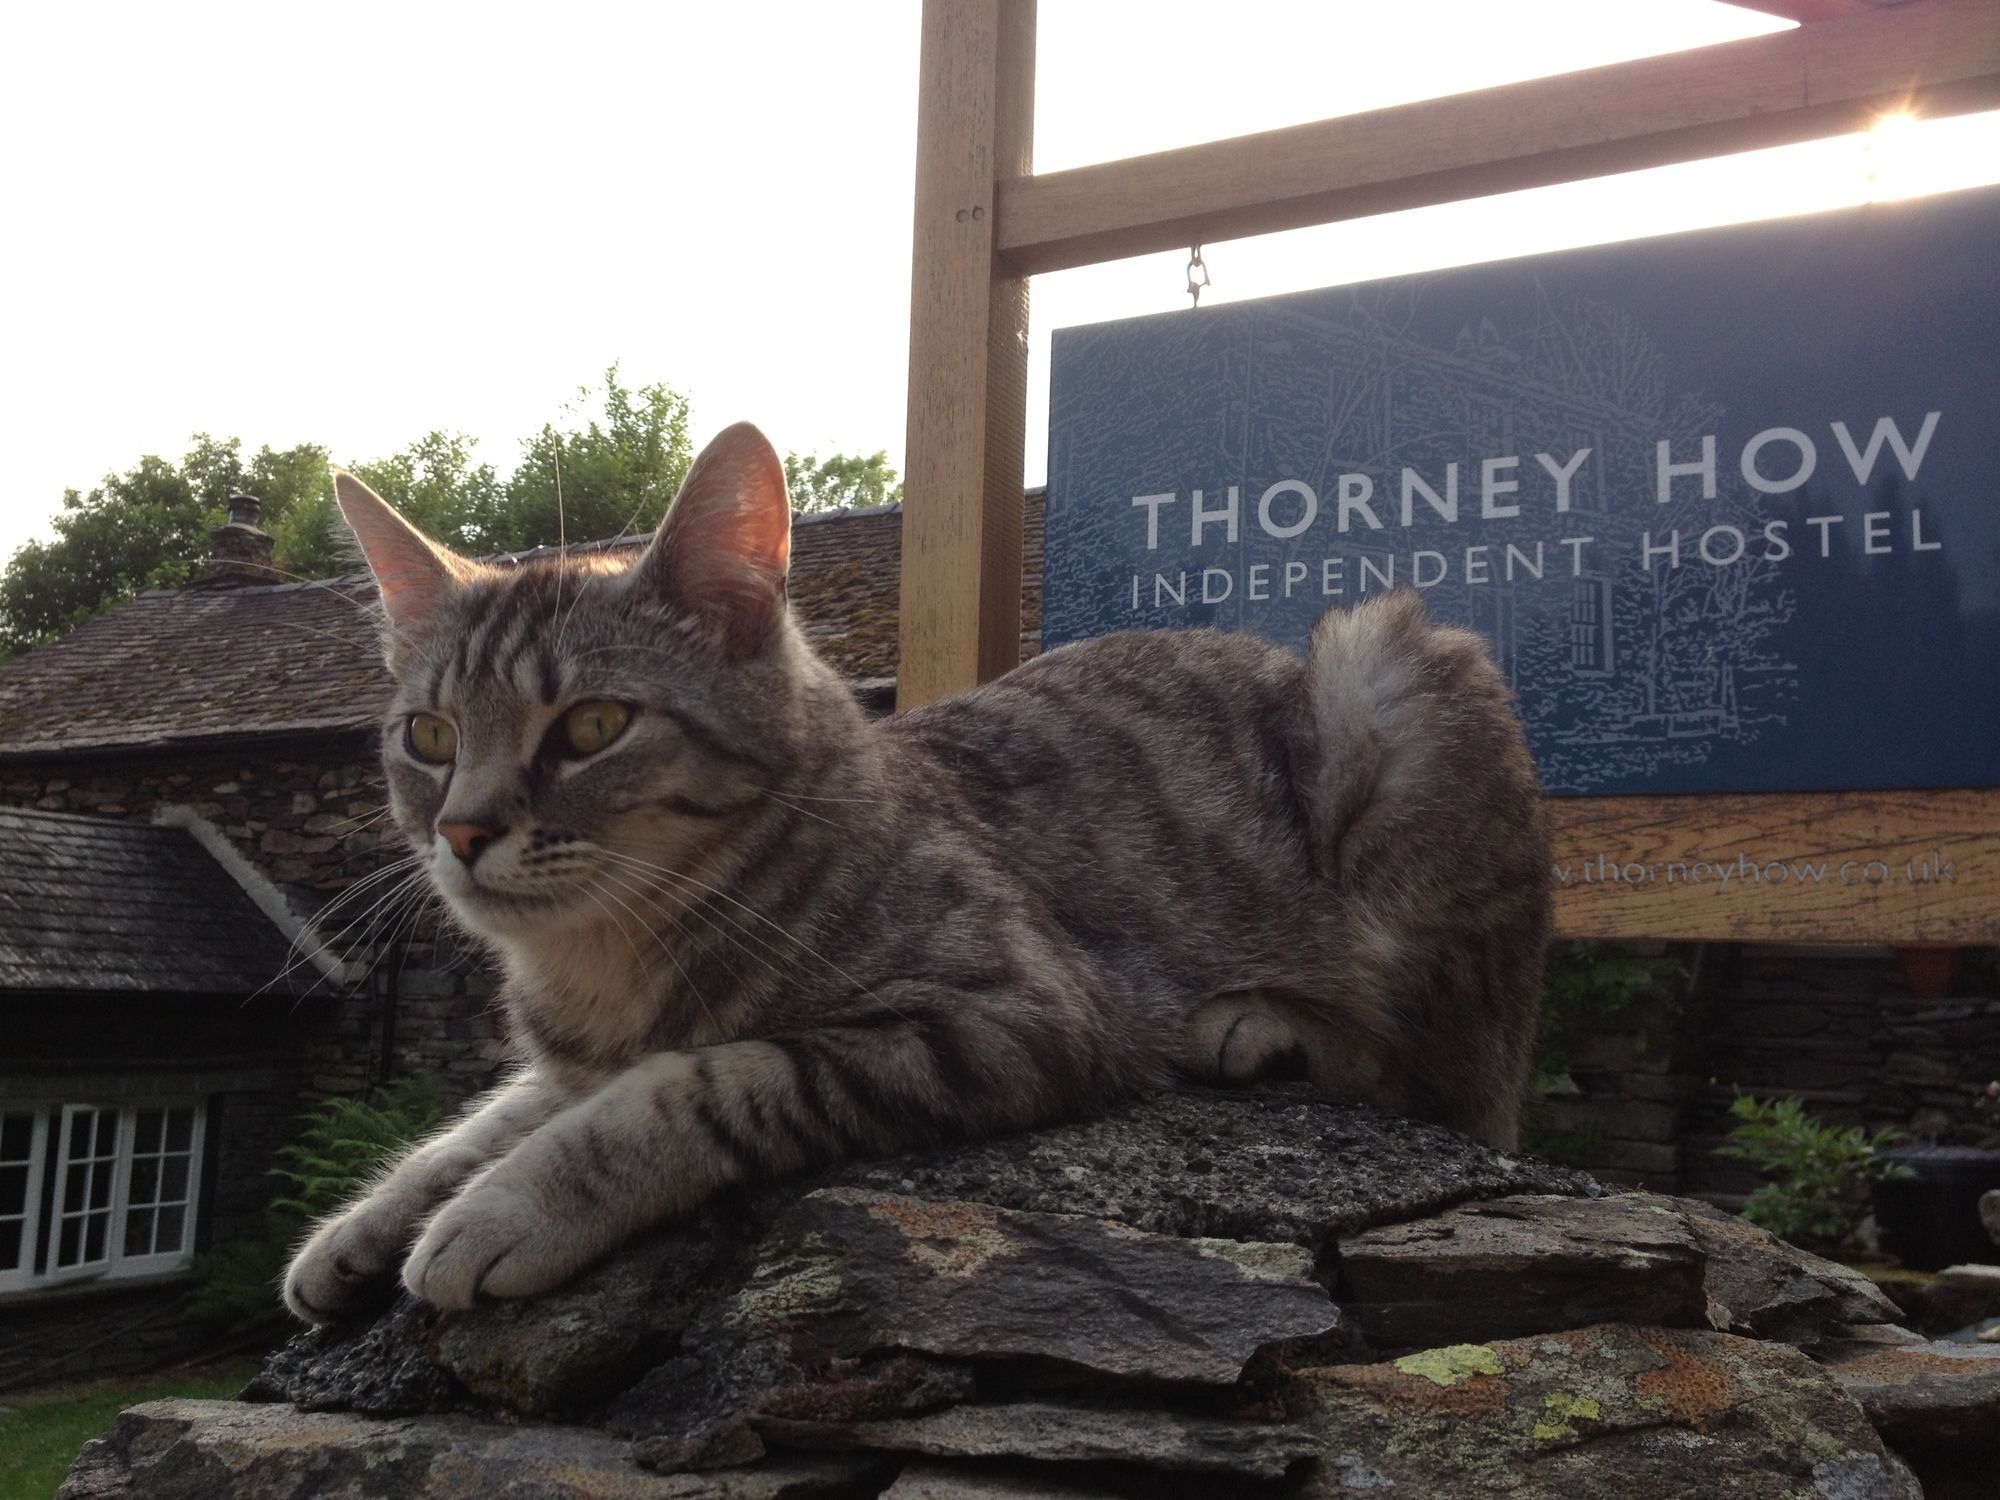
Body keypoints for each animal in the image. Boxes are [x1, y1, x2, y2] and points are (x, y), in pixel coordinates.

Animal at [290, 424, 1552, 1328]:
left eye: (593, 725)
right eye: (429, 737)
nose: (461, 831)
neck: (605, 962)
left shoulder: (1008, 1015)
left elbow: (692, 1084)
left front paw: (506, 1207)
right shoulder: (563, 1059)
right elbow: (485, 1115)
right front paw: (362, 1224)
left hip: (1391, 689)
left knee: (1437, 1074)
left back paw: (1261, 1026)